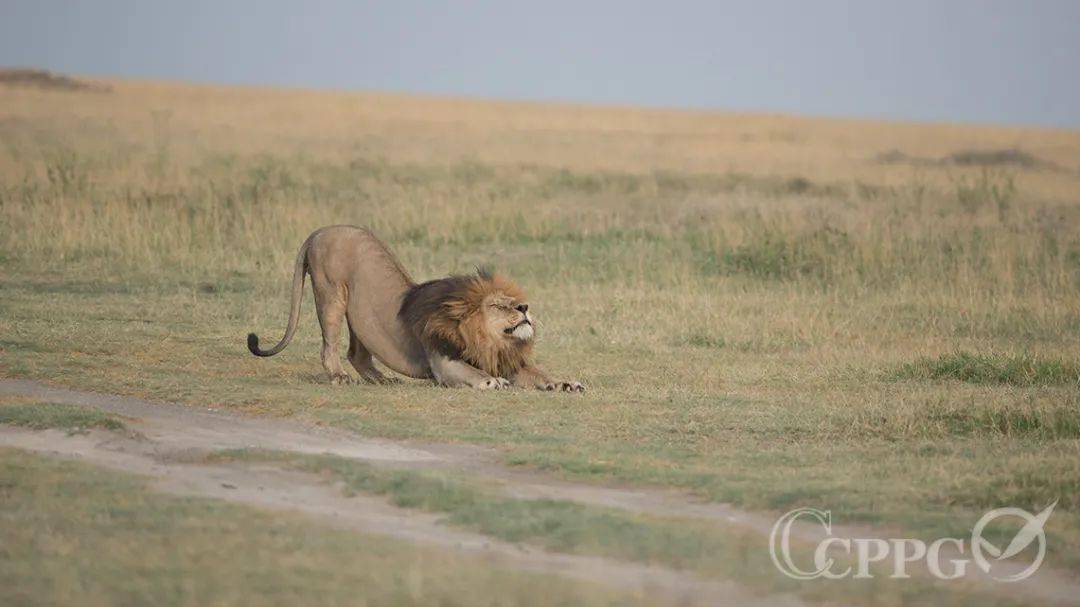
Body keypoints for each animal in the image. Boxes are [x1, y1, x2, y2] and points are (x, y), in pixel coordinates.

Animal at [247, 224, 583, 388]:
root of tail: (318, 232)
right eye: (500, 306)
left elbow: (539, 373)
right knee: (329, 345)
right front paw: (491, 381)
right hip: (331, 294)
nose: (525, 307)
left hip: (359, 315)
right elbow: (470, 372)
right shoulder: (443, 362)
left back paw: (383, 380)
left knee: (357, 354)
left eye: (516, 302)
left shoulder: (504, 358)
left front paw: (564, 382)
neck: (485, 340)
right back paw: (338, 377)